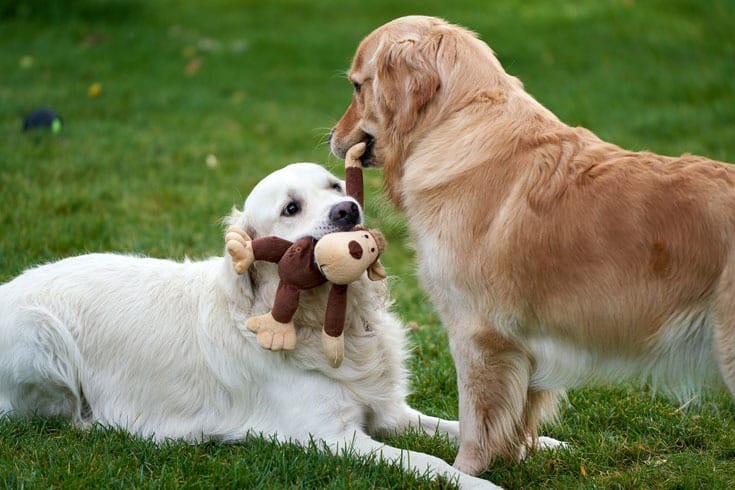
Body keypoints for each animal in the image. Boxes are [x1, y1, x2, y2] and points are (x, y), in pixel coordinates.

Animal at [0, 163, 498, 488]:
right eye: (291, 208)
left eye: (336, 184)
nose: (348, 210)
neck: (325, 320)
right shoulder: (330, 436)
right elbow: (426, 462)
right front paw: (480, 484)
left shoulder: (389, 411)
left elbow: (457, 428)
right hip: (41, 335)